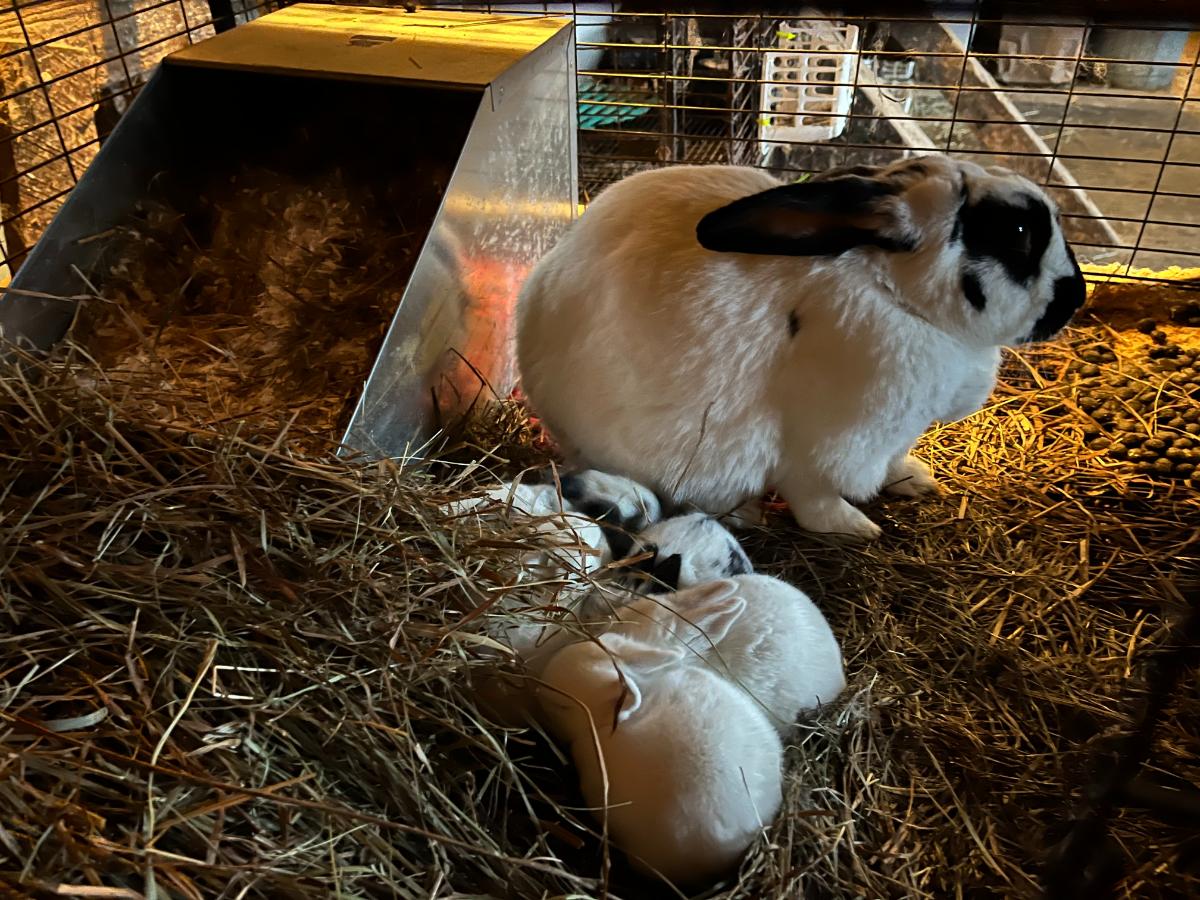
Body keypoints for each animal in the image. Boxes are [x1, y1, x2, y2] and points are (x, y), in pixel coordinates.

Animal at [516, 154, 1088, 540]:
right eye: (1018, 230)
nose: (1076, 296)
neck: (892, 292)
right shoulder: (826, 445)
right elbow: (816, 496)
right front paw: (855, 528)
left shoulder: (897, 433)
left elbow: (896, 462)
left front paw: (915, 480)